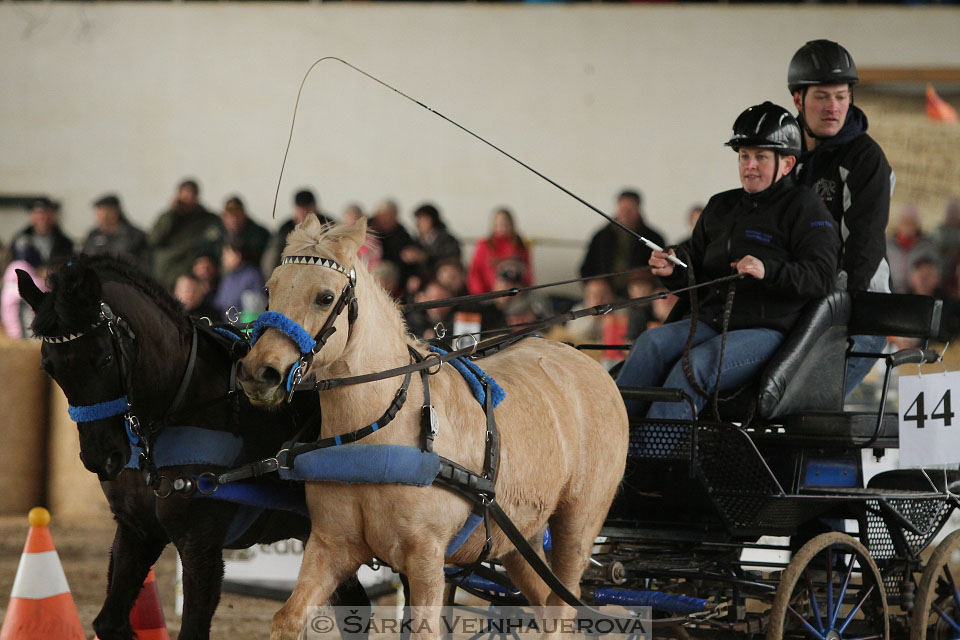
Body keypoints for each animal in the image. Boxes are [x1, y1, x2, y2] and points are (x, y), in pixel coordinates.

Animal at [239, 216, 632, 640]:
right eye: (270, 289)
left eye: (325, 297)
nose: (259, 372)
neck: (379, 432)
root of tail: (593, 366)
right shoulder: (331, 545)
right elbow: (288, 617)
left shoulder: (426, 556)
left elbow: (425, 630)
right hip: (520, 536)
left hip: (578, 525)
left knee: (563, 608)